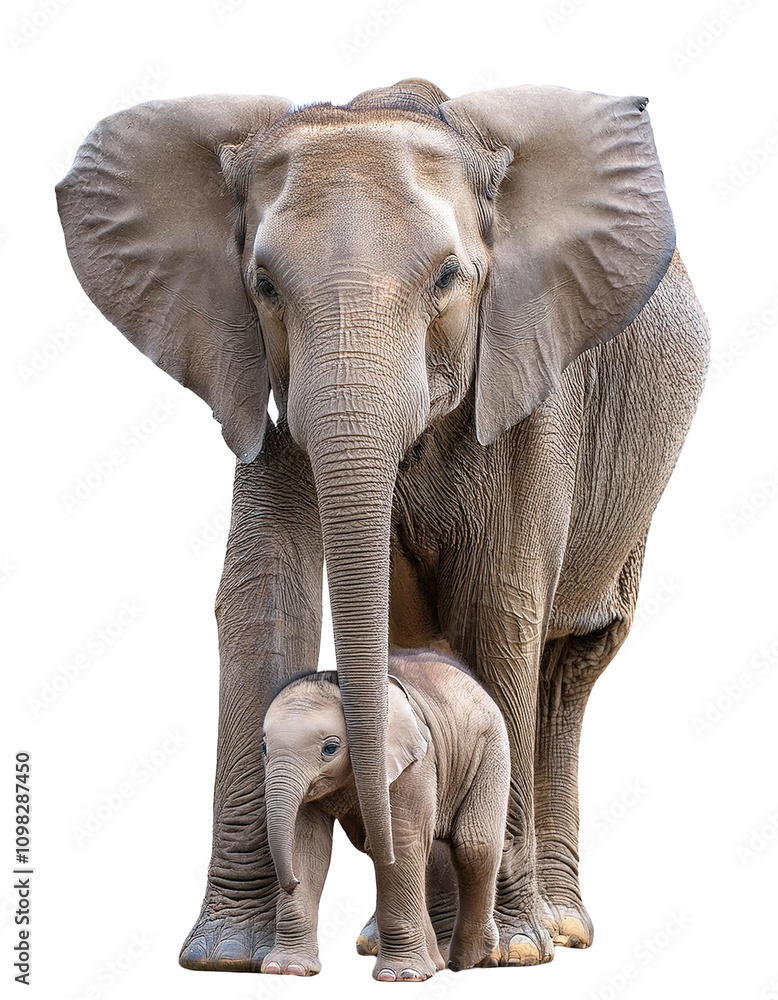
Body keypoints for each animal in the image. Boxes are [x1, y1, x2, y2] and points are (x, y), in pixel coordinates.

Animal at [260, 649, 510, 980]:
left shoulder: (414, 763)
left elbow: (401, 843)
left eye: (330, 748)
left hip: (492, 747)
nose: (291, 883)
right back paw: (437, 962)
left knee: (474, 845)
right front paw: (286, 969)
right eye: (264, 748)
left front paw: (400, 976)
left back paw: (467, 959)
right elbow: (307, 847)